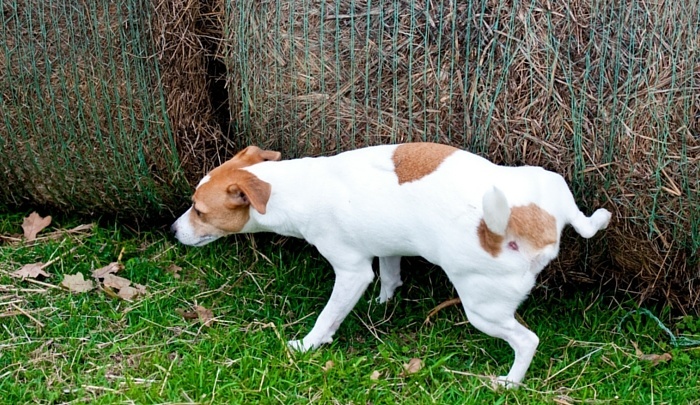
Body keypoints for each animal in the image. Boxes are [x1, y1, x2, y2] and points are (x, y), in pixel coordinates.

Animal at [172, 142, 608, 386]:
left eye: (199, 211)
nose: (172, 230)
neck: (292, 188)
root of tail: (533, 223)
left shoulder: (351, 271)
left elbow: (328, 316)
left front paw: (308, 344)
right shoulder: (386, 246)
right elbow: (391, 274)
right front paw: (384, 302)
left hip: (482, 309)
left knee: (527, 341)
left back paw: (510, 382)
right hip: (549, 181)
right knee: (586, 222)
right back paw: (598, 219)